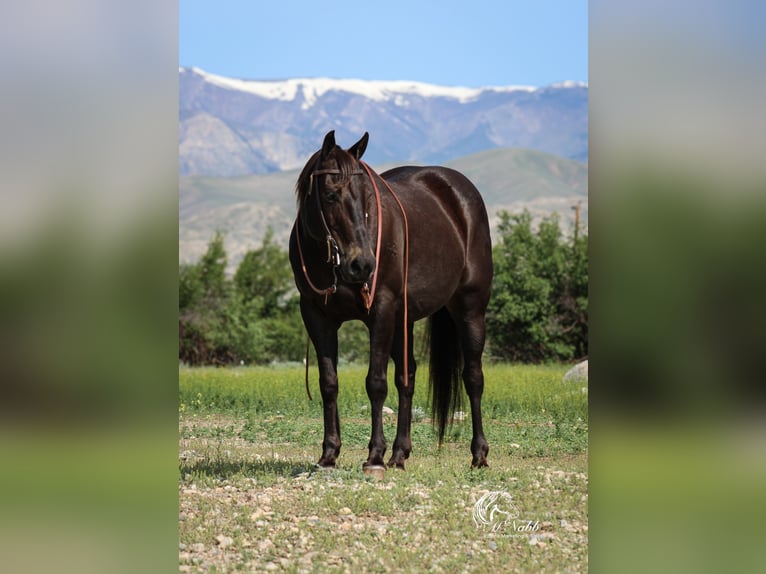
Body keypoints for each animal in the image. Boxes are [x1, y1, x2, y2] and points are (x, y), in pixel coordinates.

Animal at [288, 130, 493, 471]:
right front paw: (329, 454)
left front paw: (374, 456)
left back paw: (478, 454)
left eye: (367, 197)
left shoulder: (381, 311)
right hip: (404, 320)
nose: (362, 264)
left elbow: (376, 382)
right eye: (330, 195)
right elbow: (329, 383)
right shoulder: (318, 317)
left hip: (470, 310)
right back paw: (400, 454)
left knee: (473, 378)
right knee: (406, 379)